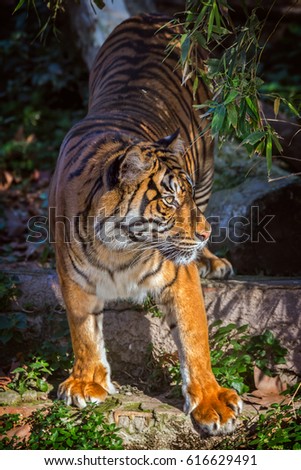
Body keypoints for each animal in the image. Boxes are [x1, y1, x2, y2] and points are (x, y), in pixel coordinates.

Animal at [49, 11, 241, 436]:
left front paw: (212, 402)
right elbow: (84, 332)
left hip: (207, 153)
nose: (204, 232)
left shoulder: (180, 277)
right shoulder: (74, 279)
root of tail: (151, 14)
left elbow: (193, 337)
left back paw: (213, 261)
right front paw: (87, 383)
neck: (117, 247)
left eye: (184, 196)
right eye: (169, 200)